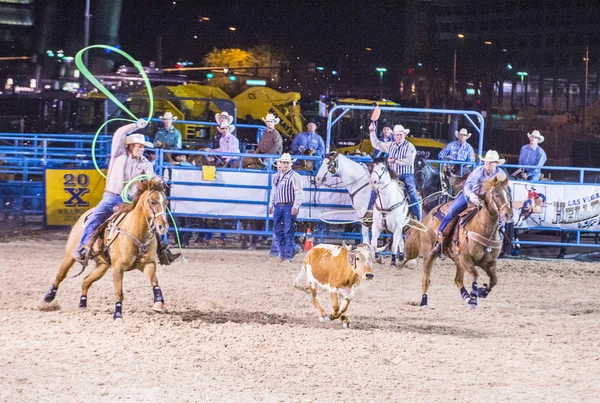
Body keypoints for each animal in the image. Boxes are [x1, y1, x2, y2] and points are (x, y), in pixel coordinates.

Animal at [42, 178, 170, 324]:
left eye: (166, 203)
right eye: (153, 202)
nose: (163, 226)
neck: (136, 231)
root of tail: (85, 215)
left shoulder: (148, 263)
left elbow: (154, 281)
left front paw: (159, 304)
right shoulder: (118, 267)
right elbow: (119, 292)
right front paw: (118, 316)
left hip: (102, 266)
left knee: (86, 281)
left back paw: (82, 305)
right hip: (69, 256)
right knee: (61, 275)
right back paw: (48, 297)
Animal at [398, 174, 510, 310]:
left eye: (508, 194)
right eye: (496, 195)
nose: (508, 214)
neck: (483, 228)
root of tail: (428, 217)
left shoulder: (488, 262)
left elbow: (494, 280)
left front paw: (481, 292)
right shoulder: (465, 258)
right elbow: (475, 275)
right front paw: (474, 299)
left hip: (457, 260)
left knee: (458, 280)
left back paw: (466, 296)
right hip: (429, 254)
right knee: (426, 280)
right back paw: (424, 302)